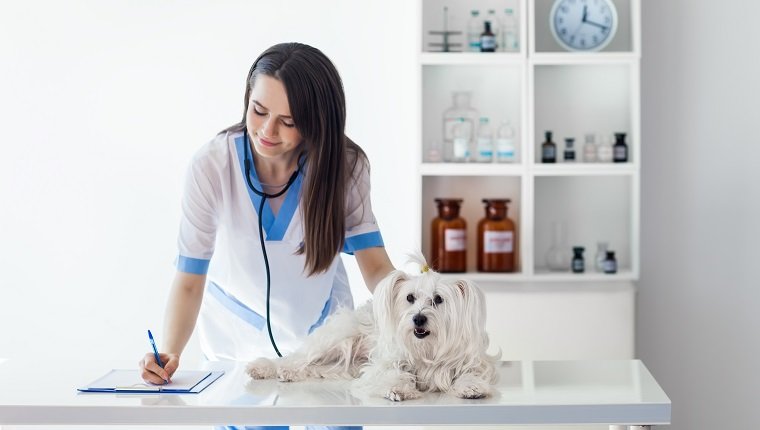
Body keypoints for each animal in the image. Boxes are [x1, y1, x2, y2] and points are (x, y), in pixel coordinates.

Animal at [246, 254, 502, 402]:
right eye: (410, 297)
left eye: (438, 299)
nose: (418, 319)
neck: (426, 348)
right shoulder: (384, 363)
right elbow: (393, 373)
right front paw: (398, 388)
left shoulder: (471, 362)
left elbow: (470, 373)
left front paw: (471, 386)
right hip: (335, 339)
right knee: (297, 358)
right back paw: (272, 368)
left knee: (315, 368)